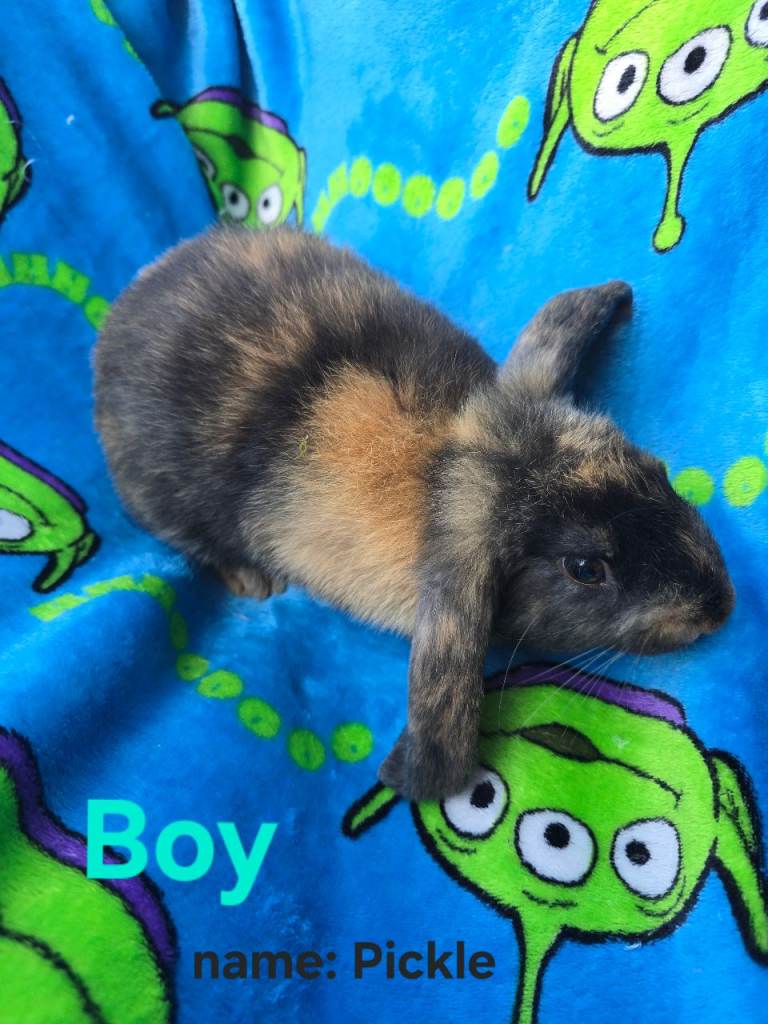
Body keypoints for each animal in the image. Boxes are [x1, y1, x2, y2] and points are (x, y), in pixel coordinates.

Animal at [93, 226, 734, 800]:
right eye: (585, 569)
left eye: (656, 470)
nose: (720, 607)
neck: (441, 468)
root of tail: (123, 311)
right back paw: (253, 579)